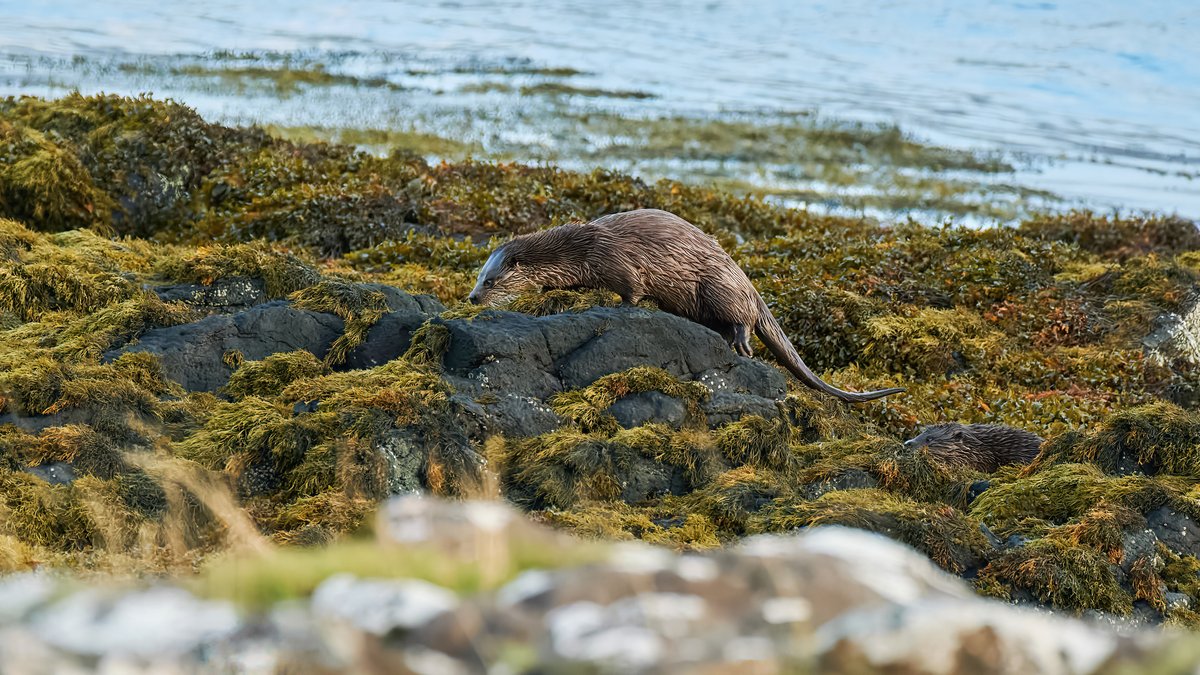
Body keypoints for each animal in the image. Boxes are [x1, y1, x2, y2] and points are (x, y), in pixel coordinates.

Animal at [466, 208, 903, 402]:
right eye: (477, 275)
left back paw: (740, 342)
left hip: (719, 286)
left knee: (741, 317)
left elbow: (631, 291)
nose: (471, 297)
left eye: (490, 281)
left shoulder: (618, 262)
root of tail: (748, 281)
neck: (580, 251)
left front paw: (622, 307)